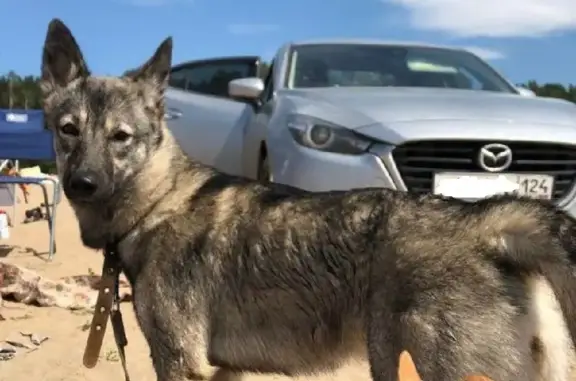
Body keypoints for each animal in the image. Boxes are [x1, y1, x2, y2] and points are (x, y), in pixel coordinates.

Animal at [42, 17, 576, 380]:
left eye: (121, 138)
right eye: (68, 131)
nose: (82, 183)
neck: (157, 203)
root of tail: (488, 220)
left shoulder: (180, 363)